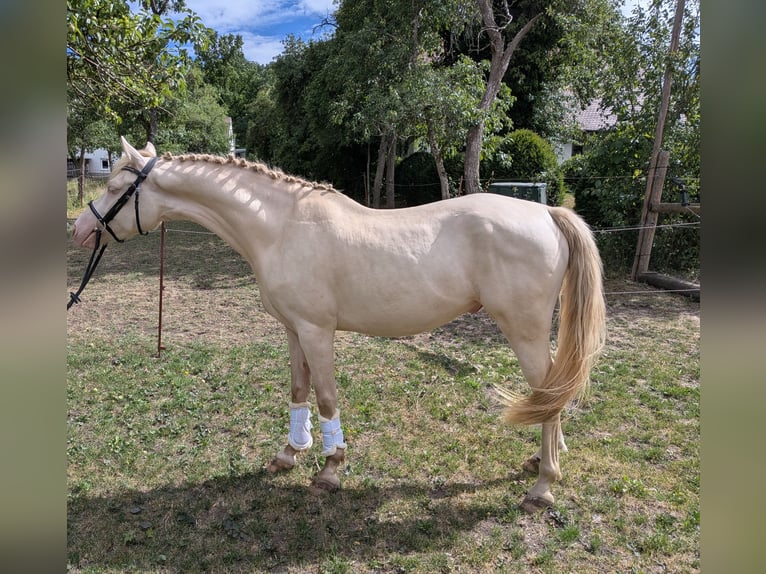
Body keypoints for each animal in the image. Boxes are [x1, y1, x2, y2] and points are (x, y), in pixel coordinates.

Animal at [70, 137, 606, 512]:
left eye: (116, 188)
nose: (79, 230)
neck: (280, 227)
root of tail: (547, 212)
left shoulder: (315, 330)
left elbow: (326, 396)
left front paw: (330, 468)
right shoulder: (292, 329)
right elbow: (298, 389)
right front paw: (290, 452)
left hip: (524, 330)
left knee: (550, 394)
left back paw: (543, 486)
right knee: (551, 395)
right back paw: (544, 459)